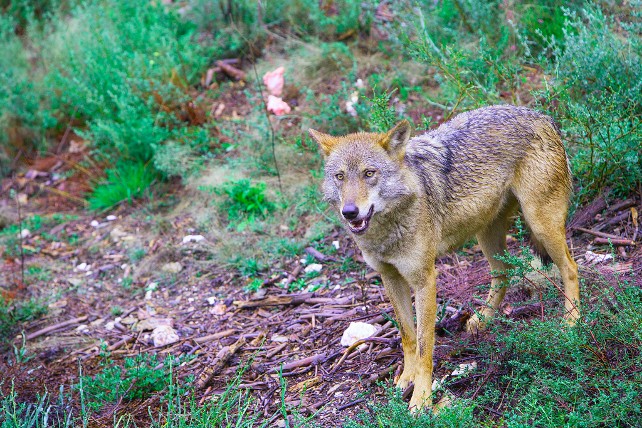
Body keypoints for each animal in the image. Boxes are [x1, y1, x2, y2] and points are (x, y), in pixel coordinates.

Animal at [308, 104, 576, 412]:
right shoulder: (390, 278)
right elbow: (408, 336)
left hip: (540, 225)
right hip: (487, 236)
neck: (387, 231)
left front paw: (421, 399)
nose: (350, 212)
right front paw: (406, 378)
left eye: (369, 173)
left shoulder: (425, 280)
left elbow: (425, 345)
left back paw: (572, 322)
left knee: (571, 268)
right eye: (340, 176)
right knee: (503, 273)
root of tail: (542, 116)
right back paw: (482, 320)